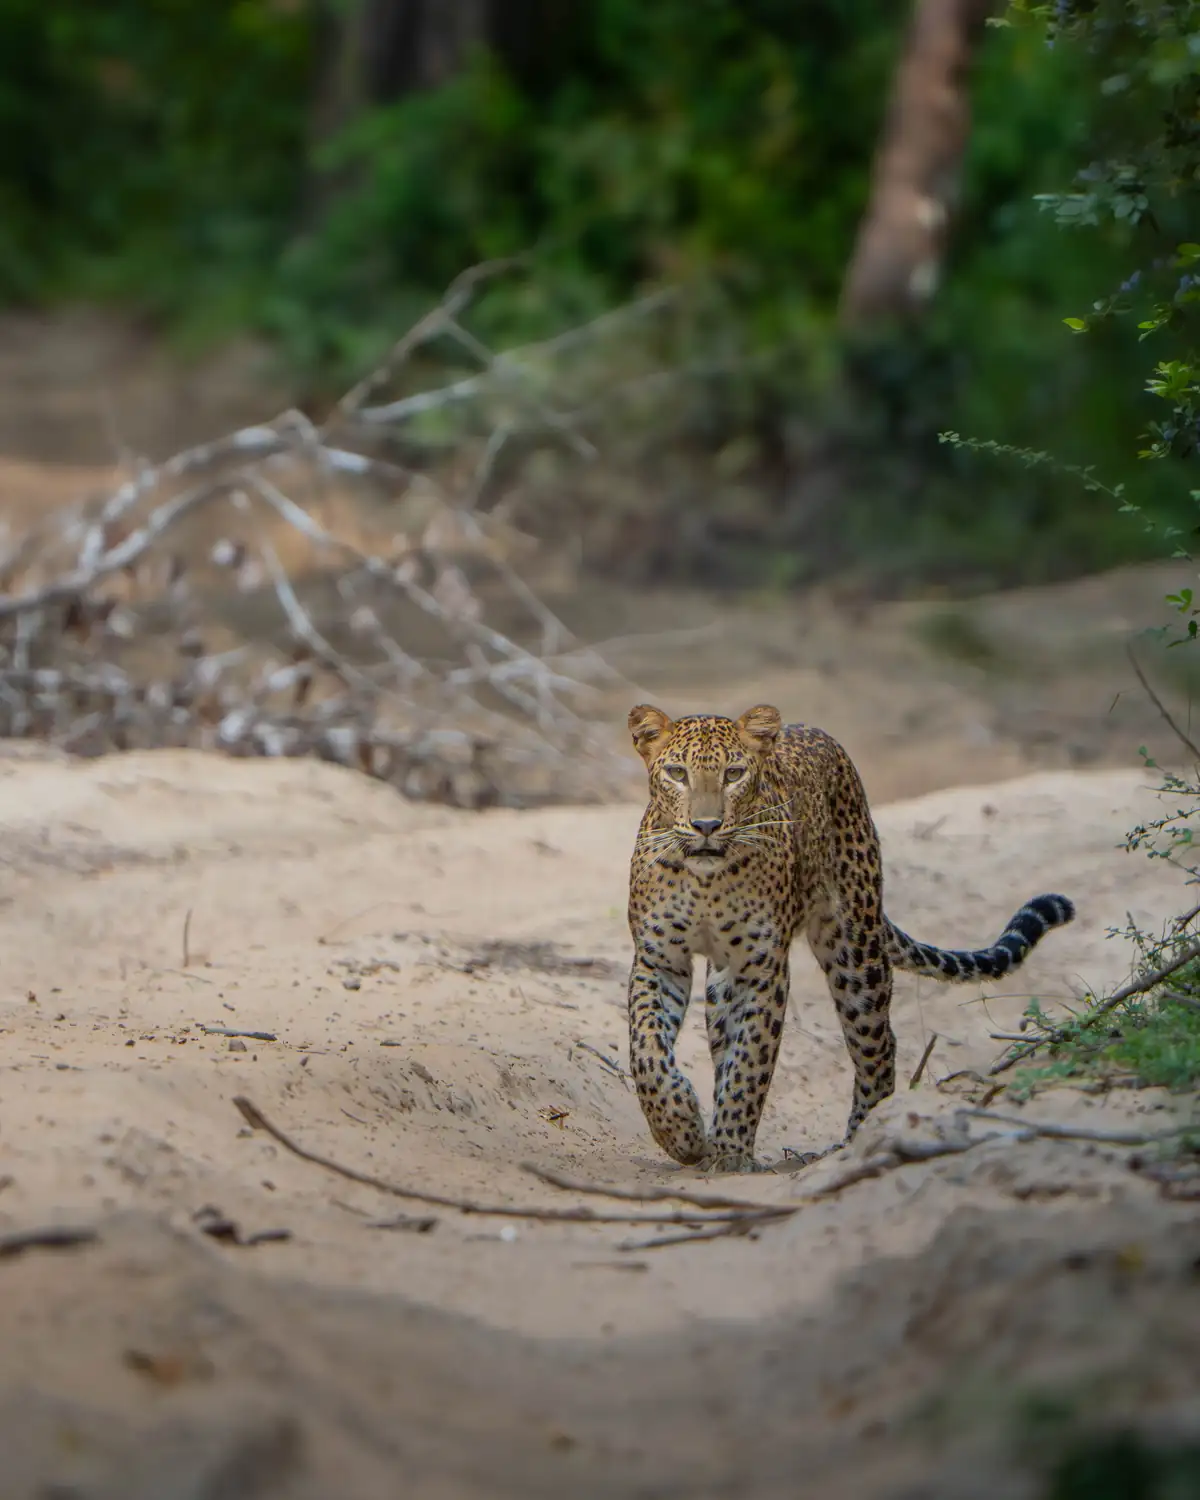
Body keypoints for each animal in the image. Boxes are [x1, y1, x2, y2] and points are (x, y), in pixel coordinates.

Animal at [625, 702, 1076, 1174]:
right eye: (677, 773)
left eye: (733, 774)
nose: (707, 825)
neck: (705, 882)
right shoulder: (660, 959)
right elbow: (646, 1049)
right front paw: (682, 1130)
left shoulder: (762, 969)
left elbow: (751, 1061)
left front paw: (730, 1151)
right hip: (726, 981)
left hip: (855, 951)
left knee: (879, 1046)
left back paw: (859, 1140)